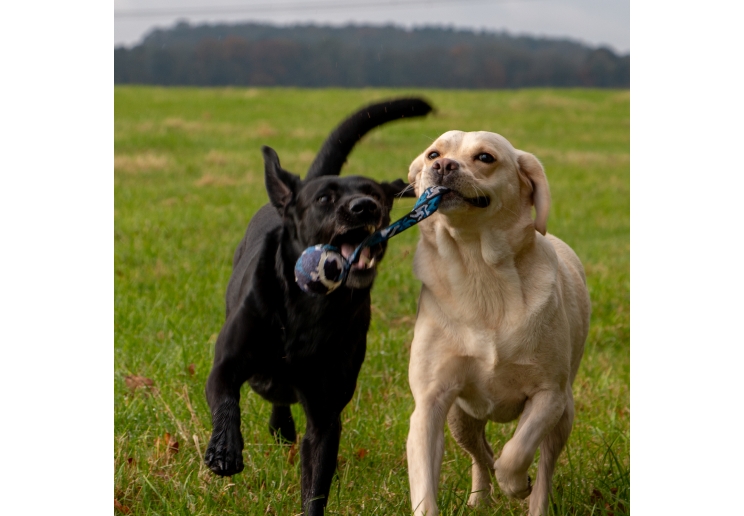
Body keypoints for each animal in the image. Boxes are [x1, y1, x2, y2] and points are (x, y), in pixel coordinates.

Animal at [206, 99, 434, 512]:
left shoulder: (326, 412)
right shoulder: (226, 364)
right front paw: (224, 450)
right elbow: (226, 398)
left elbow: (316, 484)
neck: (308, 307)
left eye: (377, 196)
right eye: (324, 199)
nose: (364, 207)